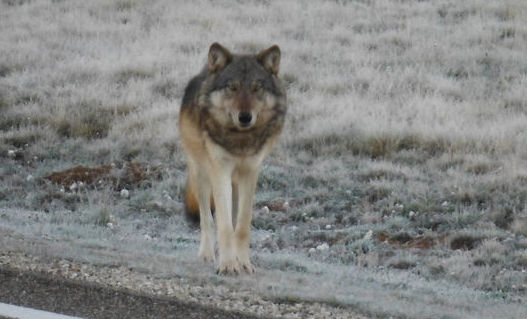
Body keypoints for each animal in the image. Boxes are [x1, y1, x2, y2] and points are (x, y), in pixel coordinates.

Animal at [180, 42, 288, 276]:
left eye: (257, 88)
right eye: (233, 87)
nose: (245, 117)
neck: (240, 139)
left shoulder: (250, 172)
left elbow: (242, 226)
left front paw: (243, 263)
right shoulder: (219, 171)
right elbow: (223, 225)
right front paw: (228, 265)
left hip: (236, 183)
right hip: (201, 175)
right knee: (207, 219)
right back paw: (207, 255)